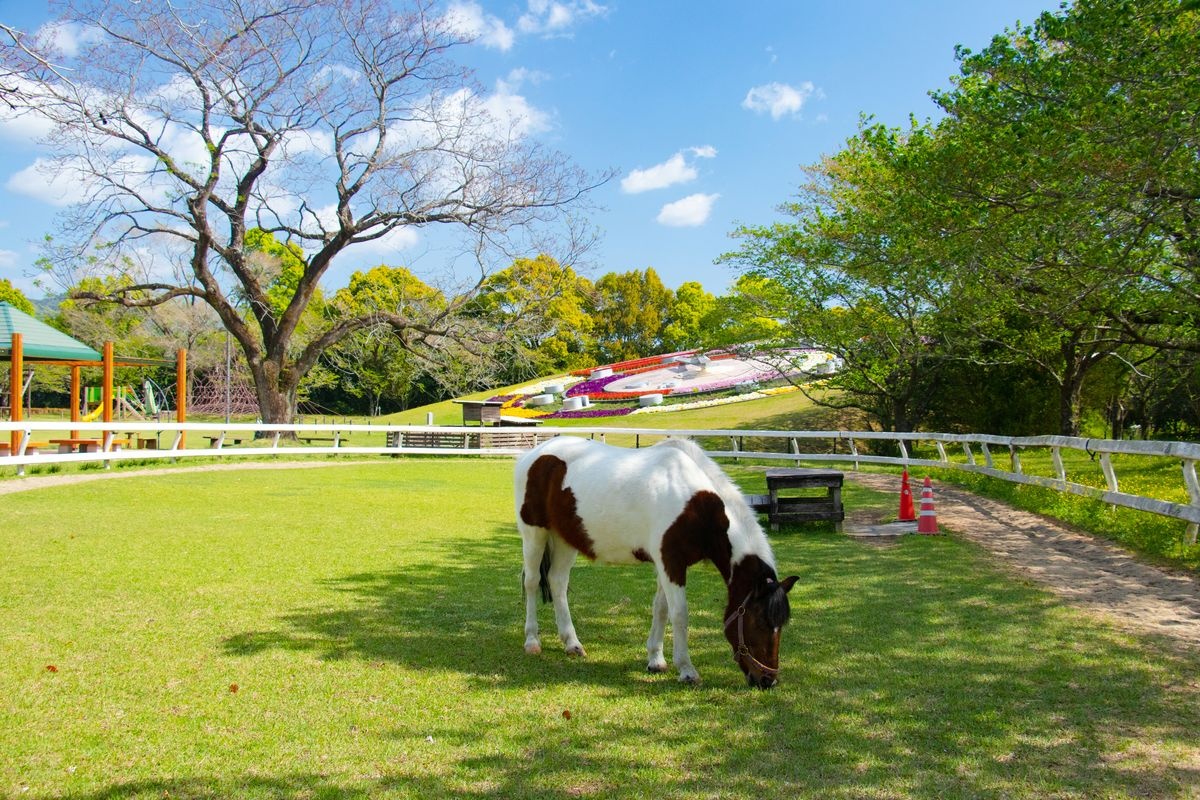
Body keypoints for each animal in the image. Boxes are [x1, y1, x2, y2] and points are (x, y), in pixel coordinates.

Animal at [514, 436, 799, 688]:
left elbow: (661, 608)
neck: (694, 506)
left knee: (558, 583)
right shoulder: (671, 562)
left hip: (565, 540)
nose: (768, 680)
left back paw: (572, 643)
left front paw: (656, 660)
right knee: (532, 582)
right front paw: (686, 670)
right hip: (534, 534)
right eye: (759, 622)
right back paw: (532, 641)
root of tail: (533, 454)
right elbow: (679, 613)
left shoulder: (667, 564)